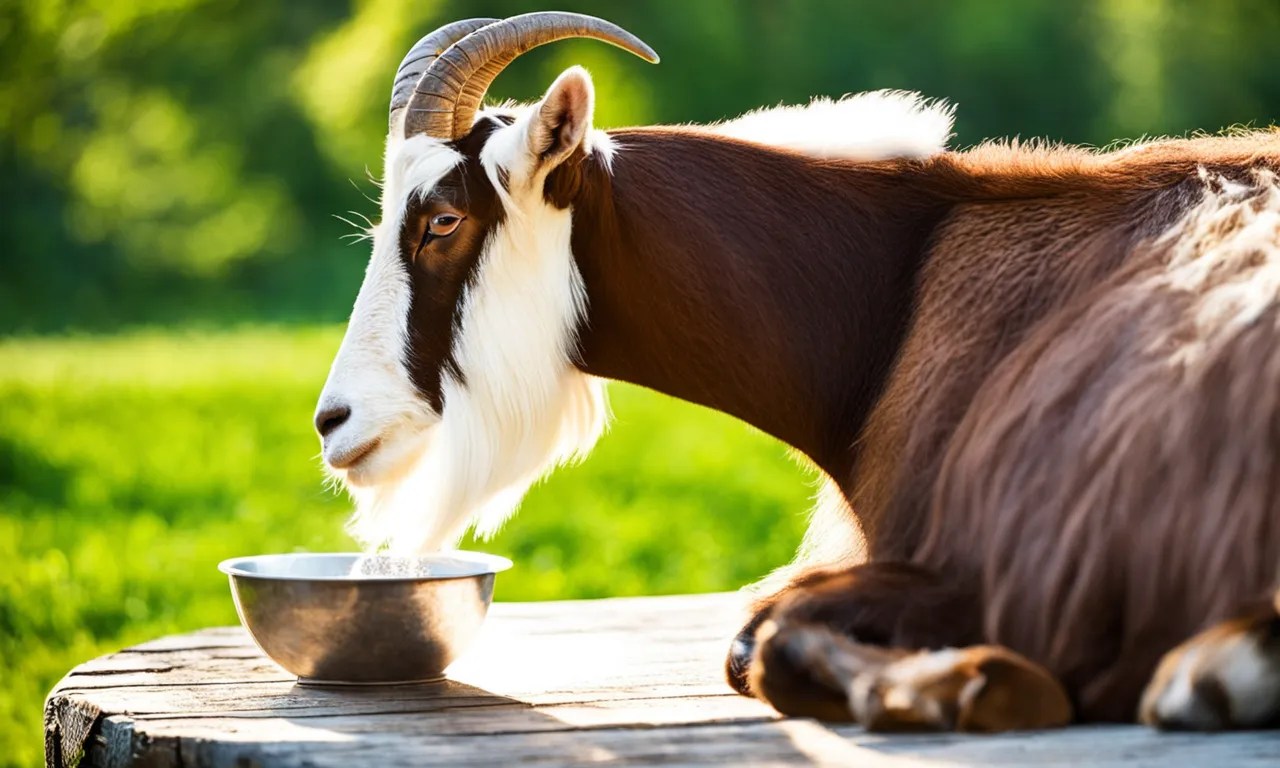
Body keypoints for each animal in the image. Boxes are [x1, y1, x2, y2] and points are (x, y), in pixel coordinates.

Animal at [314, 12, 1280, 731]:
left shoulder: (998, 570)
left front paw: (972, 684)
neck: (904, 276)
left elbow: (759, 635)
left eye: (442, 221)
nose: (334, 423)